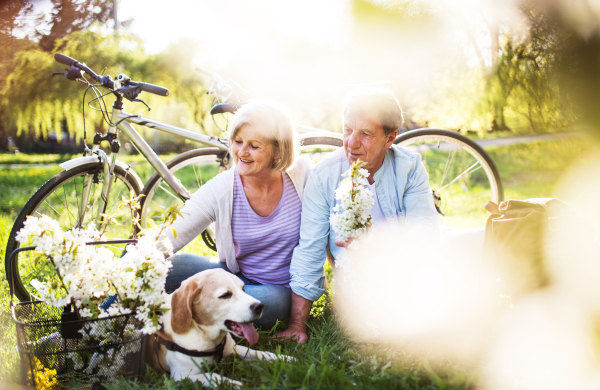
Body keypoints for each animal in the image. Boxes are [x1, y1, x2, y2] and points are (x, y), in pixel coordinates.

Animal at [143, 268, 288, 386]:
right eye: (226, 295)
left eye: (243, 289)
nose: (259, 306)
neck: (203, 333)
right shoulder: (182, 376)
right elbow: (214, 376)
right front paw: (237, 385)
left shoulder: (234, 349)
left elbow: (262, 354)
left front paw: (286, 359)